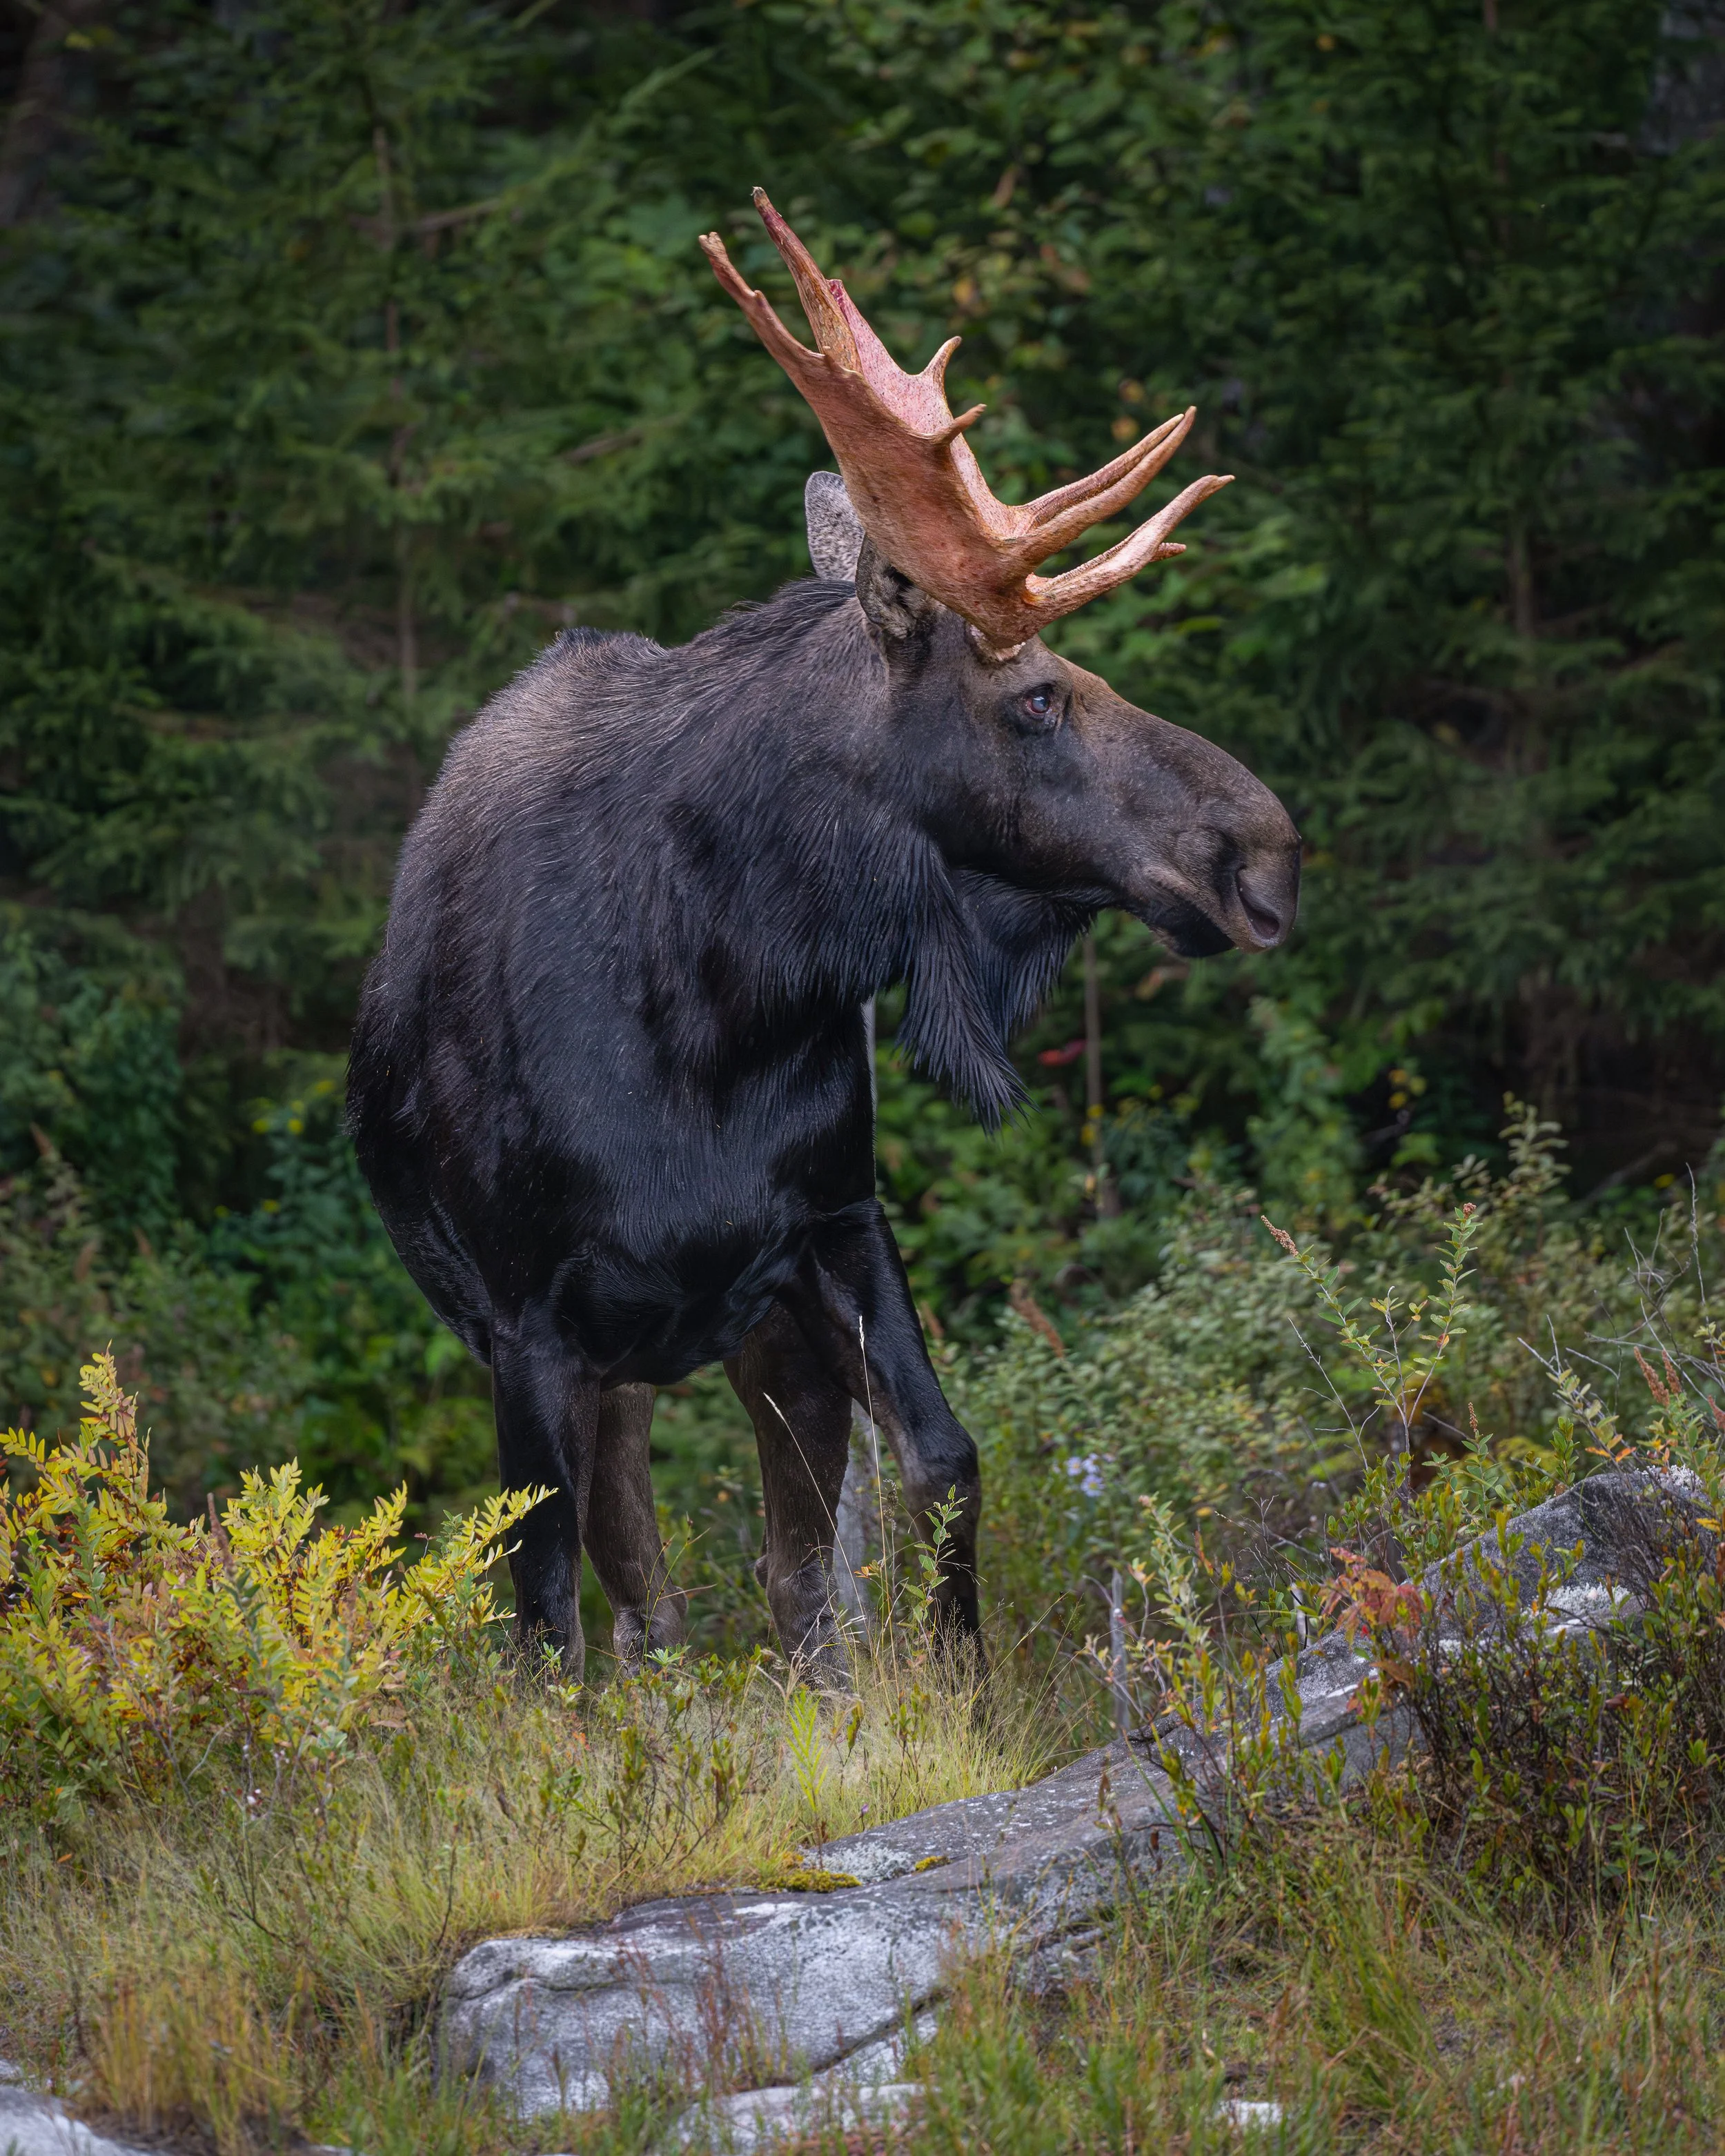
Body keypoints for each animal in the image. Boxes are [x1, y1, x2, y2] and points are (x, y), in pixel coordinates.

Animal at [348, 192, 1301, 1683]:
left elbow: (942, 1463)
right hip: (599, 1360)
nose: (1262, 847)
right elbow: (547, 1614)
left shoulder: (831, 1227)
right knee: (647, 1601)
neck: (721, 996)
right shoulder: (529, 1325)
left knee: (785, 1569)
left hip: (745, 1339)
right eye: (1035, 695)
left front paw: (960, 1687)